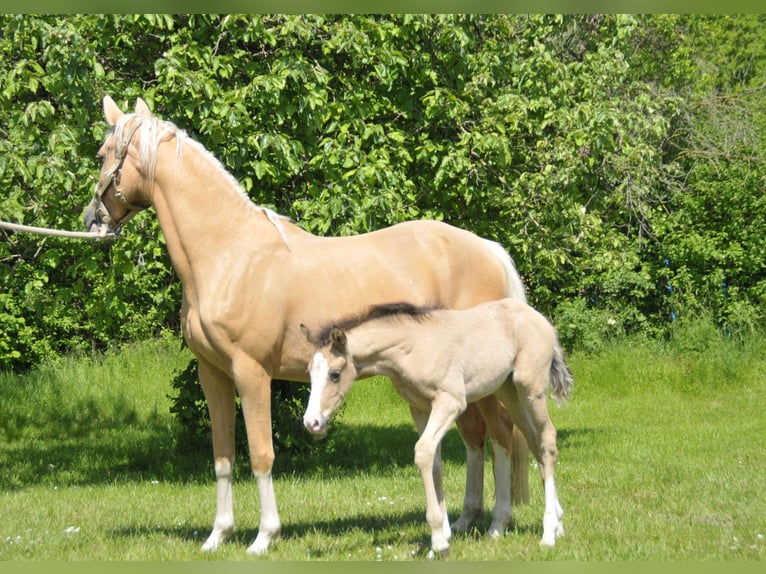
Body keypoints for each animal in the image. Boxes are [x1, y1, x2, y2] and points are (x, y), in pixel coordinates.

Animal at [82, 95, 530, 554]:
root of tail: (489, 249)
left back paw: (497, 523)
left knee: (501, 436)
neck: (230, 255)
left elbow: (261, 454)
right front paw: (218, 535)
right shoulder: (213, 374)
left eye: (101, 155)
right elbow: (223, 456)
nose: (92, 220)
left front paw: (264, 537)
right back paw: (463, 520)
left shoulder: (251, 373)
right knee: (475, 437)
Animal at [301, 299, 571, 554]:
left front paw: (438, 542)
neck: (413, 348)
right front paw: (444, 532)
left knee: (547, 439)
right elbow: (435, 462)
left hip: (530, 389)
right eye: (310, 372)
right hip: (508, 390)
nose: (311, 422)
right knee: (534, 441)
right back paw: (548, 525)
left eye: (335, 374)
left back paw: (548, 533)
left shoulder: (450, 401)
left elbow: (422, 452)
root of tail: (542, 320)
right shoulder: (419, 408)